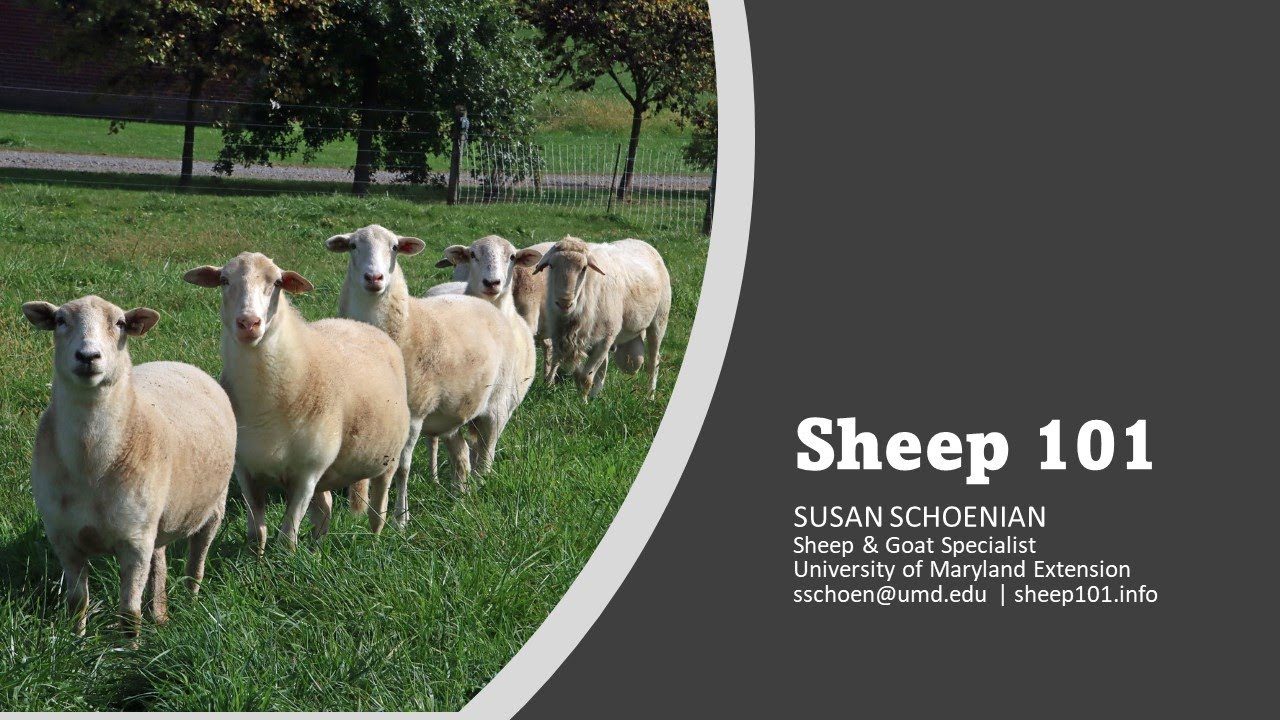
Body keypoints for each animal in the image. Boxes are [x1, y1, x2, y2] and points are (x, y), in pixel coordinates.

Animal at [23, 295, 235, 635]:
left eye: (120, 323)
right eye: (60, 321)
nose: (88, 356)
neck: (91, 467)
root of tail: (180, 364)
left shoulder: (134, 542)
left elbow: (128, 614)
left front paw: (127, 645)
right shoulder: (63, 536)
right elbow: (77, 602)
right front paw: (77, 640)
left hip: (213, 505)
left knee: (197, 558)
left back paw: (190, 599)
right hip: (155, 518)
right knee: (159, 560)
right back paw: (159, 611)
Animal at [183, 252, 411, 551]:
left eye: (277, 283)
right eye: (224, 280)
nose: (248, 323)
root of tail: (361, 325)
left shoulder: (307, 473)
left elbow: (286, 536)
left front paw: (285, 558)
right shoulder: (246, 469)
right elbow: (257, 533)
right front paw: (258, 558)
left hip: (387, 459)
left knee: (378, 507)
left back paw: (375, 541)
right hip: (328, 475)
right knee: (325, 509)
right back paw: (317, 549)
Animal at [325, 225, 534, 516]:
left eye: (394, 247)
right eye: (353, 246)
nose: (374, 277)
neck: (406, 326)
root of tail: (487, 305)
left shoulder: (415, 414)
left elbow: (402, 469)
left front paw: (400, 518)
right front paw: (359, 512)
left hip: (497, 406)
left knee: (485, 453)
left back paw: (479, 490)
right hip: (453, 414)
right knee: (462, 454)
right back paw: (459, 496)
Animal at [533, 236, 671, 400]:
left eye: (584, 268)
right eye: (551, 265)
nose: (564, 302)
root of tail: (642, 242)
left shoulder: (605, 340)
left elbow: (585, 377)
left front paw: (582, 402)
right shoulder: (564, 336)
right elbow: (569, 368)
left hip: (659, 321)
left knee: (653, 362)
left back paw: (650, 396)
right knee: (604, 366)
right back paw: (595, 395)